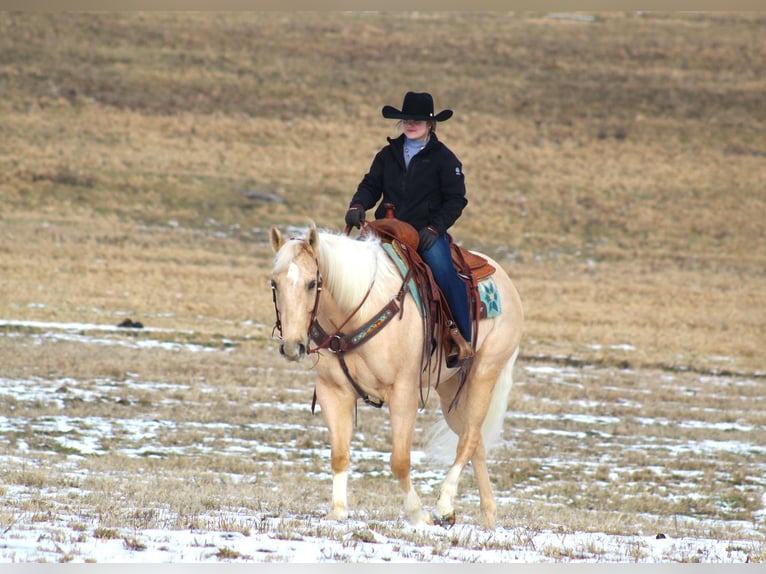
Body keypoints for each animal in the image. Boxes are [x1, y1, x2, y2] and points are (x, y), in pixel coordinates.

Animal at [268, 222, 524, 532]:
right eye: (274, 283)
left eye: (310, 283)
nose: (291, 346)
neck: (358, 310)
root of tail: (506, 282)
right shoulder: (333, 392)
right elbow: (339, 455)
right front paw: (337, 512)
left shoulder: (403, 394)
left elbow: (400, 461)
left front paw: (419, 514)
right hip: (450, 388)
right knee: (475, 443)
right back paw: (487, 517)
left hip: (484, 373)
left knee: (470, 438)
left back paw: (444, 504)